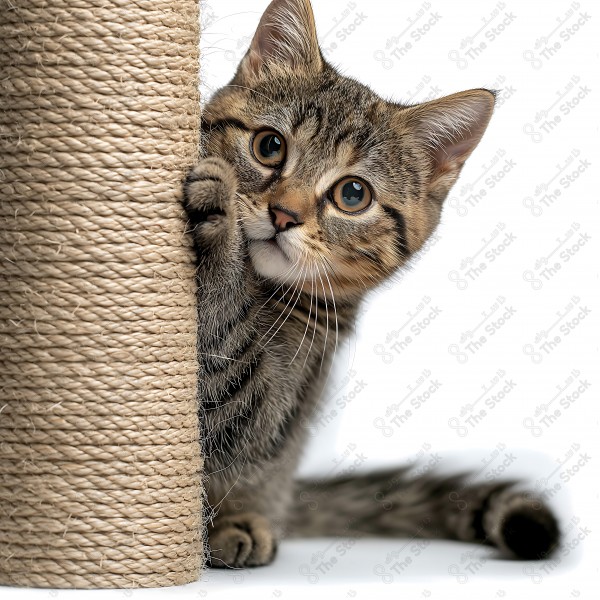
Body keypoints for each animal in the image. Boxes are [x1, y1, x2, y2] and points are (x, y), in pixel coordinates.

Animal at [185, 0, 560, 568]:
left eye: (352, 195)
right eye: (269, 146)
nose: (283, 214)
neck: (263, 289)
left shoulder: (274, 409)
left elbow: (231, 385)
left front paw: (220, 225)